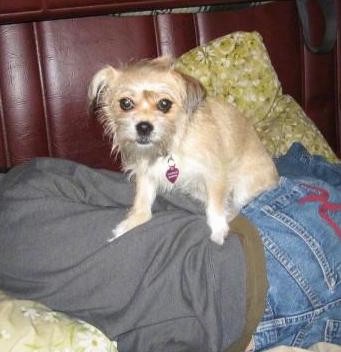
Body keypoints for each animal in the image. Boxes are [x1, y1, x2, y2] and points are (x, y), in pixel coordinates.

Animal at [89, 57, 278, 245]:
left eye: (164, 104)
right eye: (125, 103)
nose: (143, 127)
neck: (172, 145)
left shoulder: (215, 173)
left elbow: (215, 205)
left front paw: (218, 229)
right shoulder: (147, 175)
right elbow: (142, 206)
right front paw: (129, 225)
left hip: (243, 186)